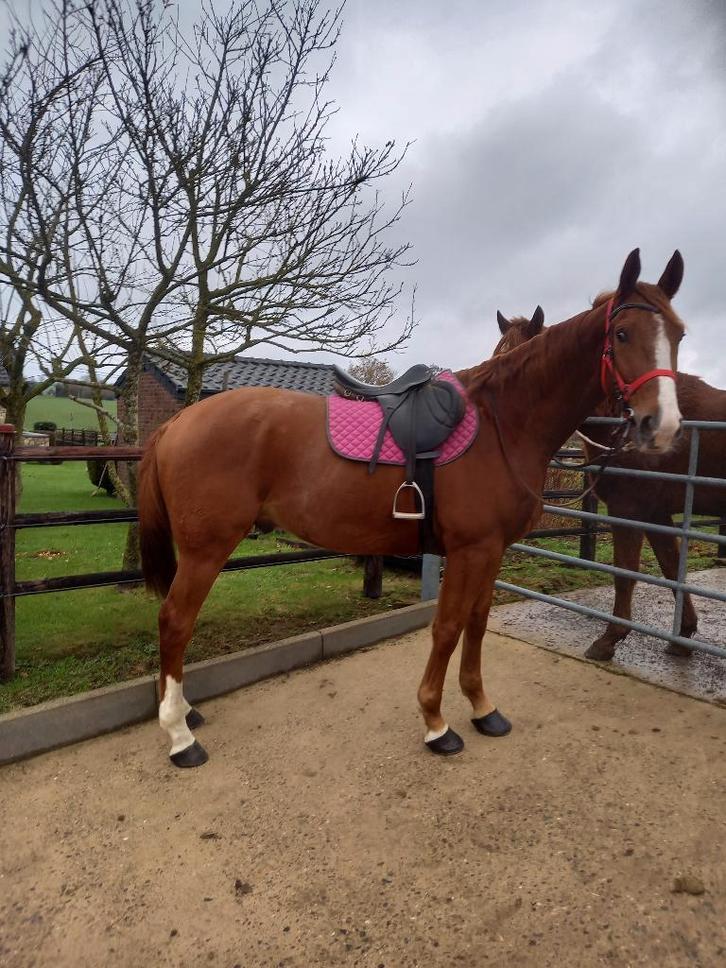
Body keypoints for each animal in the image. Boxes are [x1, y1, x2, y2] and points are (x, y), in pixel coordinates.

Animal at [139, 248, 685, 767]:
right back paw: (180, 736)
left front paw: (483, 708)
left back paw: (183, 711)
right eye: (621, 334)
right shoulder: (467, 551)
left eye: (679, 334)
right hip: (207, 550)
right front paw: (437, 723)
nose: (661, 426)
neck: (503, 425)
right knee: (175, 621)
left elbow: (477, 623)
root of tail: (176, 423)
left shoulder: (491, 551)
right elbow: (446, 628)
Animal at [495, 284, 725, 662]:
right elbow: (670, 567)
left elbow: (625, 573)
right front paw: (682, 636)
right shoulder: (656, 513)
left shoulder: (629, 511)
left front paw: (610, 639)